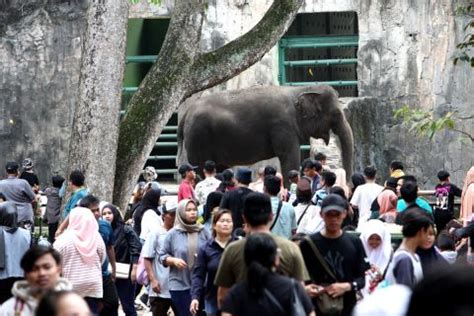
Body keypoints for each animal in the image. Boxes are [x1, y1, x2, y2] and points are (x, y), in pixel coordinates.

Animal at [176, 85, 354, 181]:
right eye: (335, 114)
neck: (300, 89)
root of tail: (185, 114)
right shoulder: (282, 126)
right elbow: (290, 158)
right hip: (198, 137)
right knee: (200, 169)